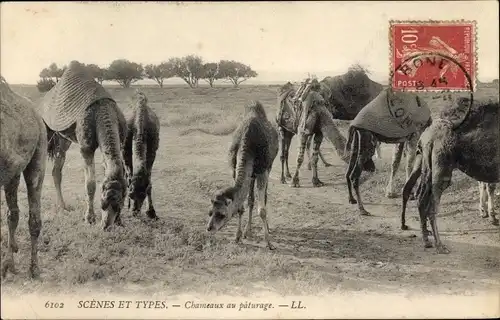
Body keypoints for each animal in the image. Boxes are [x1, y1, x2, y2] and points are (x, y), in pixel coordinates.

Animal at [41, 60, 128, 230]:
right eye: (103, 202)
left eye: (119, 204)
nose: (106, 226)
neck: (103, 112)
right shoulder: (86, 148)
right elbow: (90, 184)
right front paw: (89, 218)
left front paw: (120, 221)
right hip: (46, 131)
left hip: (64, 140)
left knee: (56, 170)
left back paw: (63, 206)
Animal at [122, 90, 159, 220]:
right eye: (131, 195)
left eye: (143, 195)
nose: (135, 211)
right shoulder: (125, 148)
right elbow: (129, 177)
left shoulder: (153, 148)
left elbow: (149, 179)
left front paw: (151, 212)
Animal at [205, 100, 280, 250]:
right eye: (210, 212)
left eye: (221, 214)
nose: (210, 228)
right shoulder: (234, 169)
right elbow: (241, 206)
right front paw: (237, 236)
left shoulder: (262, 171)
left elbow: (261, 210)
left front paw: (269, 242)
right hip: (251, 175)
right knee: (250, 198)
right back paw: (248, 231)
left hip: (268, 167)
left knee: (264, 196)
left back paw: (266, 229)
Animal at [402, 97, 500, 252]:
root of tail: (425, 136)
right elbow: (489, 187)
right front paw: (491, 216)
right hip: (441, 166)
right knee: (431, 205)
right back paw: (439, 245)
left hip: (424, 162)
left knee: (416, 195)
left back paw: (425, 239)